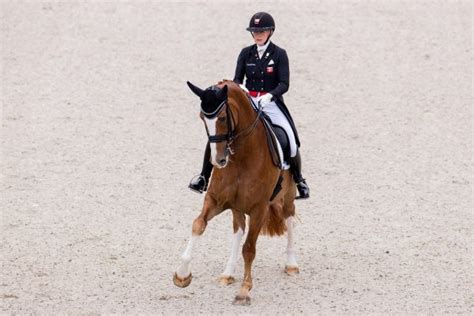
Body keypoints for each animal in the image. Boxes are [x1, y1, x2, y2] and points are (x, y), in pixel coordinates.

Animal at [174, 80, 300, 304]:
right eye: (202, 117)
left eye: (223, 118)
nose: (219, 160)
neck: (242, 156)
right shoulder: (215, 201)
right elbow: (198, 225)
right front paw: (181, 275)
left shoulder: (259, 209)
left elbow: (249, 248)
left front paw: (244, 290)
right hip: (237, 207)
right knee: (238, 229)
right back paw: (227, 273)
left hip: (288, 196)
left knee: (289, 218)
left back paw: (291, 264)